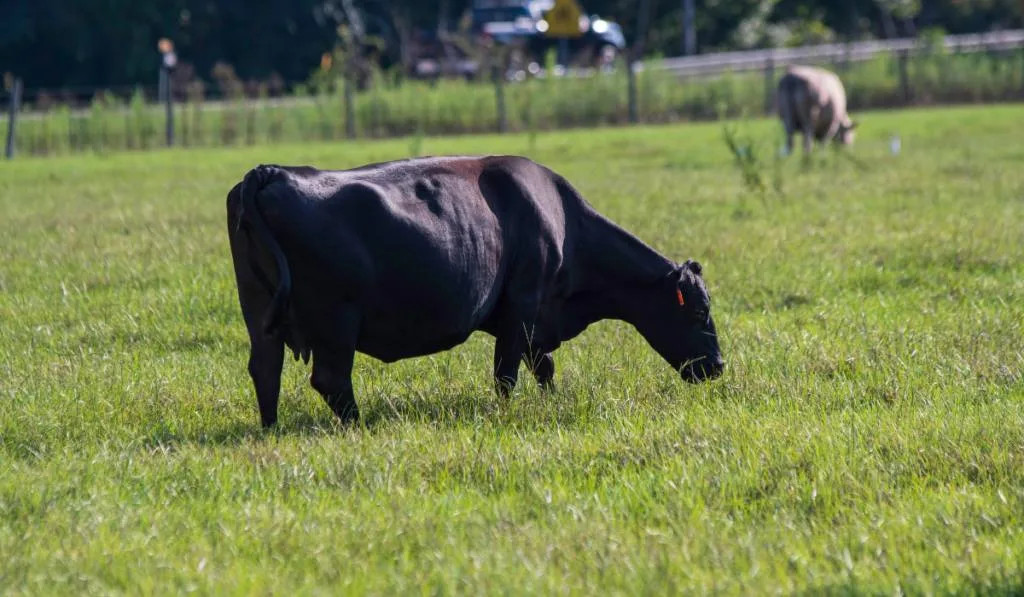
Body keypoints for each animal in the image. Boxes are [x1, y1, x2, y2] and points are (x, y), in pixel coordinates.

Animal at [228, 156, 724, 428]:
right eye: (699, 311)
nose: (718, 366)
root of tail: (271, 173)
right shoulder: (523, 305)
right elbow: (507, 373)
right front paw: (507, 412)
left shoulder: (532, 318)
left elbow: (543, 366)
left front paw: (551, 401)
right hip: (337, 320)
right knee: (331, 379)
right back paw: (358, 425)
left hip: (259, 314)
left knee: (265, 370)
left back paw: (271, 429)